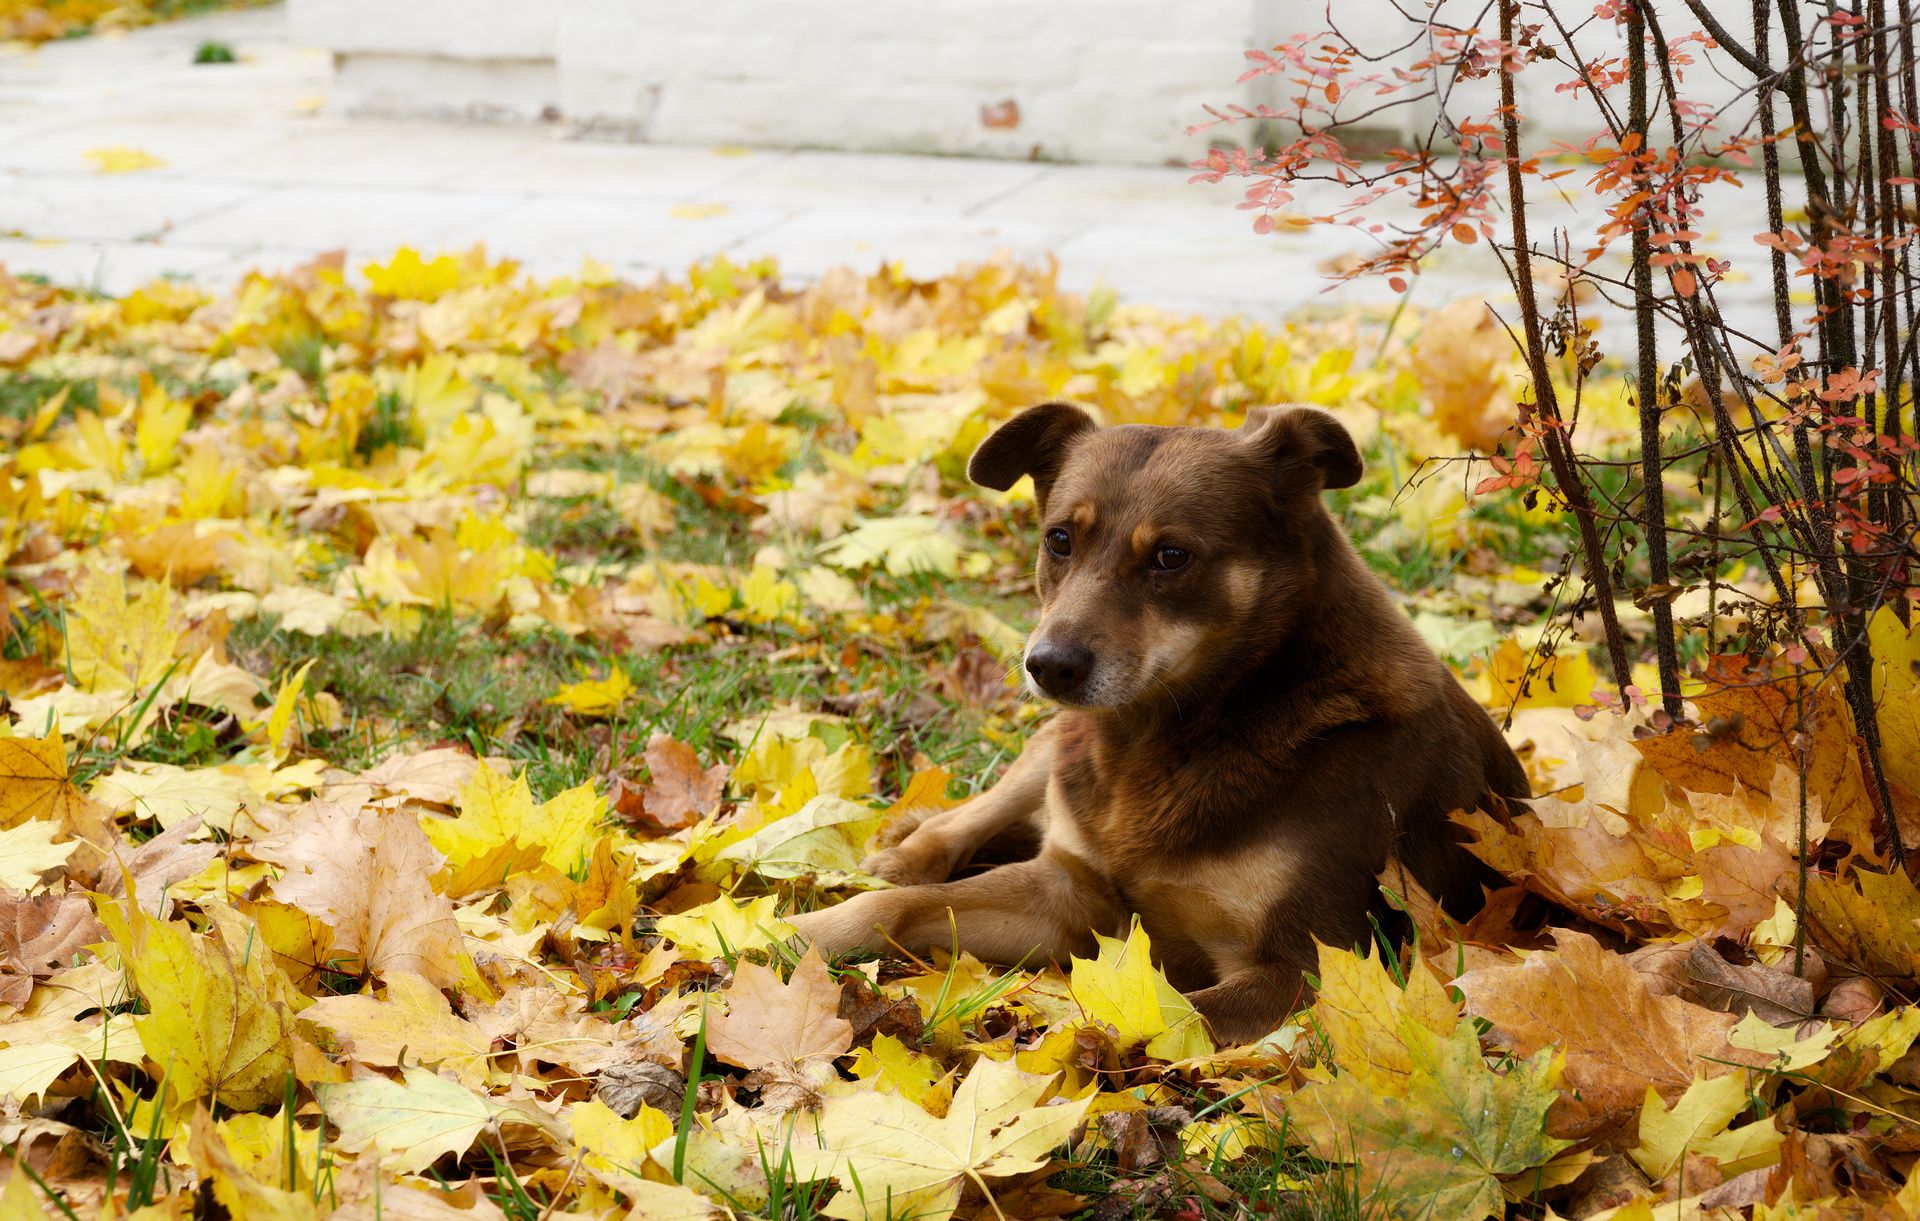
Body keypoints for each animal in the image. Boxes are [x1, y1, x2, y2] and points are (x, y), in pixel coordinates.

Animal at [783, 401, 1528, 1036]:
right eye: (1059, 540)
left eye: (1171, 555)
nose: (1048, 665)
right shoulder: (1066, 892)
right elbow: (893, 908)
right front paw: (798, 932)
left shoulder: (1311, 967)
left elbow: (1154, 1018)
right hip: (1054, 748)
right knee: (964, 821)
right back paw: (901, 854)